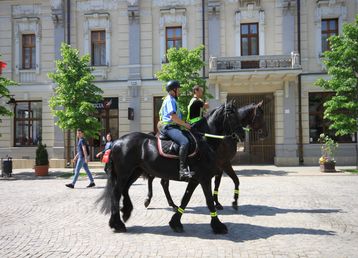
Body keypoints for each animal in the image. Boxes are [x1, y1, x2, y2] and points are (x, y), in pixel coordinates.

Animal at [99, 100, 264, 235]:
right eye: (231, 115)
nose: (241, 134)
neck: (205, 141)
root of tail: (116, 142)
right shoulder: (205, 177)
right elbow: (209, 200)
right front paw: (218, 225)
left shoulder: (196, 178)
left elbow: (186, 198)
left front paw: (175, 222)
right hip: (124, 173)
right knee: (117, 193)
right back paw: (118, 223)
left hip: (135, 172)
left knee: (126, 190)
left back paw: (126, 212)